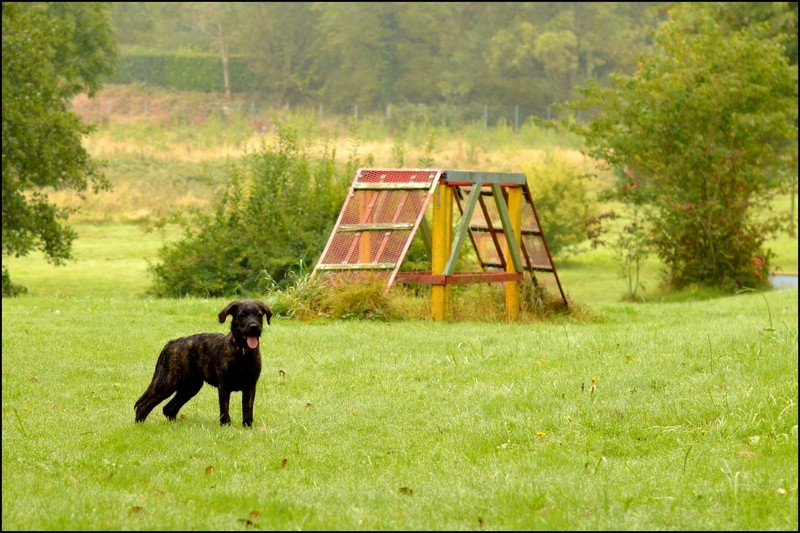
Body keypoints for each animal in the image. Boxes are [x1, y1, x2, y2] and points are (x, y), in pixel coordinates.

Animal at [134, 300, 272, 428]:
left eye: (259, 314)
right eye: (242, 315)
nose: (254, 326)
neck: (242, 353)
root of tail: (171, 344)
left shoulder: (250, 385)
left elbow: (248, 409)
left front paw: (247, 427)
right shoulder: (224, 386)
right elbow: (224, 409)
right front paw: (226, 426)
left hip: (190, 386)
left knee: (169, 408)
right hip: (168, 382)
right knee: (143, 405)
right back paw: (140, 426)